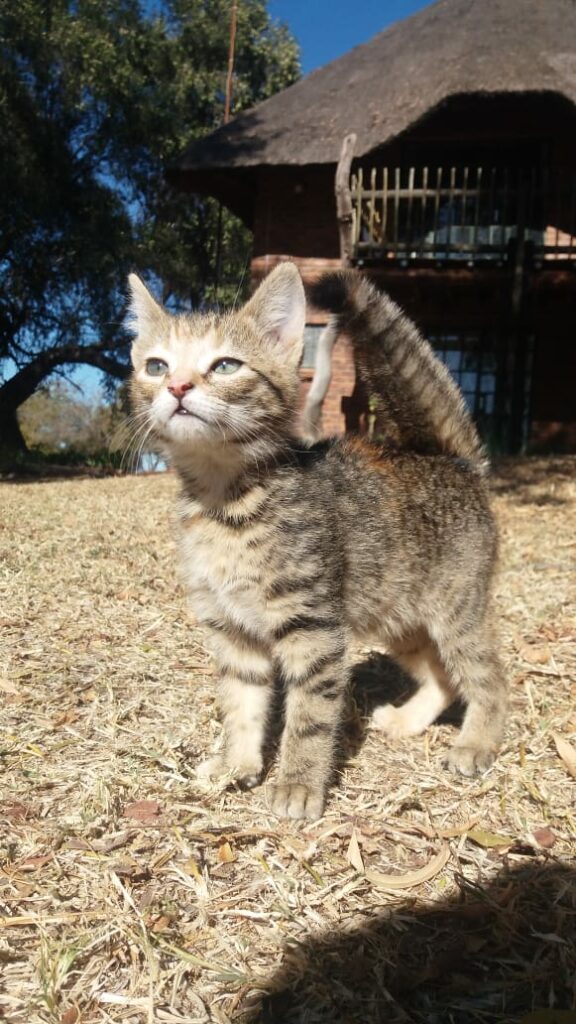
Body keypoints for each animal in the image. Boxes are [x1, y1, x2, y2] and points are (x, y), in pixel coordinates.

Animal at [125, 266, 502, 823]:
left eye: (226, 365)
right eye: (155, 366)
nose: (176, 386)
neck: (225, 503)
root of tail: (450, 459)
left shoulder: (315, 630)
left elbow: (309, 717)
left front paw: (298, 785)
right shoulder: (232, 631)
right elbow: (241, 704)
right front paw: (237, 763)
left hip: (456, 613)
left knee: (491, 677)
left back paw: (478, 742)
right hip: (397, 619)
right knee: (441, 675)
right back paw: (408, 721)